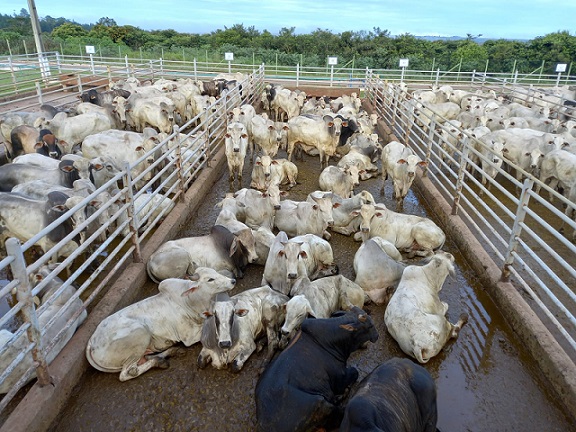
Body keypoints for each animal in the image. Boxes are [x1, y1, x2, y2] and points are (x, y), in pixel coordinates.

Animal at [86, 268, 235, 384]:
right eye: (210, 279)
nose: (232, 281)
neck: (192, 302)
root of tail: (92, 341)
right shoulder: (189, 337)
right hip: (140, 333)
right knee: (128, 373)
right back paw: (160, 361)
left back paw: (172, 352)